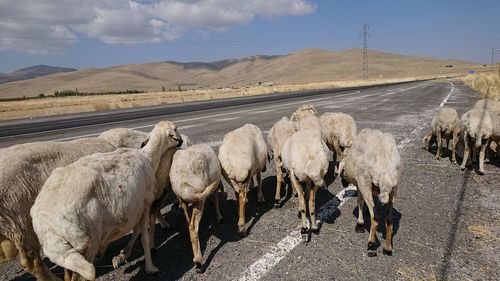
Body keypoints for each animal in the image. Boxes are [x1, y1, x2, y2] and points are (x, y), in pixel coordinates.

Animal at [29, 121, 182, 280]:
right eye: (176, 130)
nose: (181, 142)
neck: (149, 157)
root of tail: (47, 226)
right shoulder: (144, 204)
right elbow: (144, 238)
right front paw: (150, 267)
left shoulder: (136, 207)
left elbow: (138, 230)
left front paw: (122, 255)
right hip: (88, 242)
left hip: (72, 248)